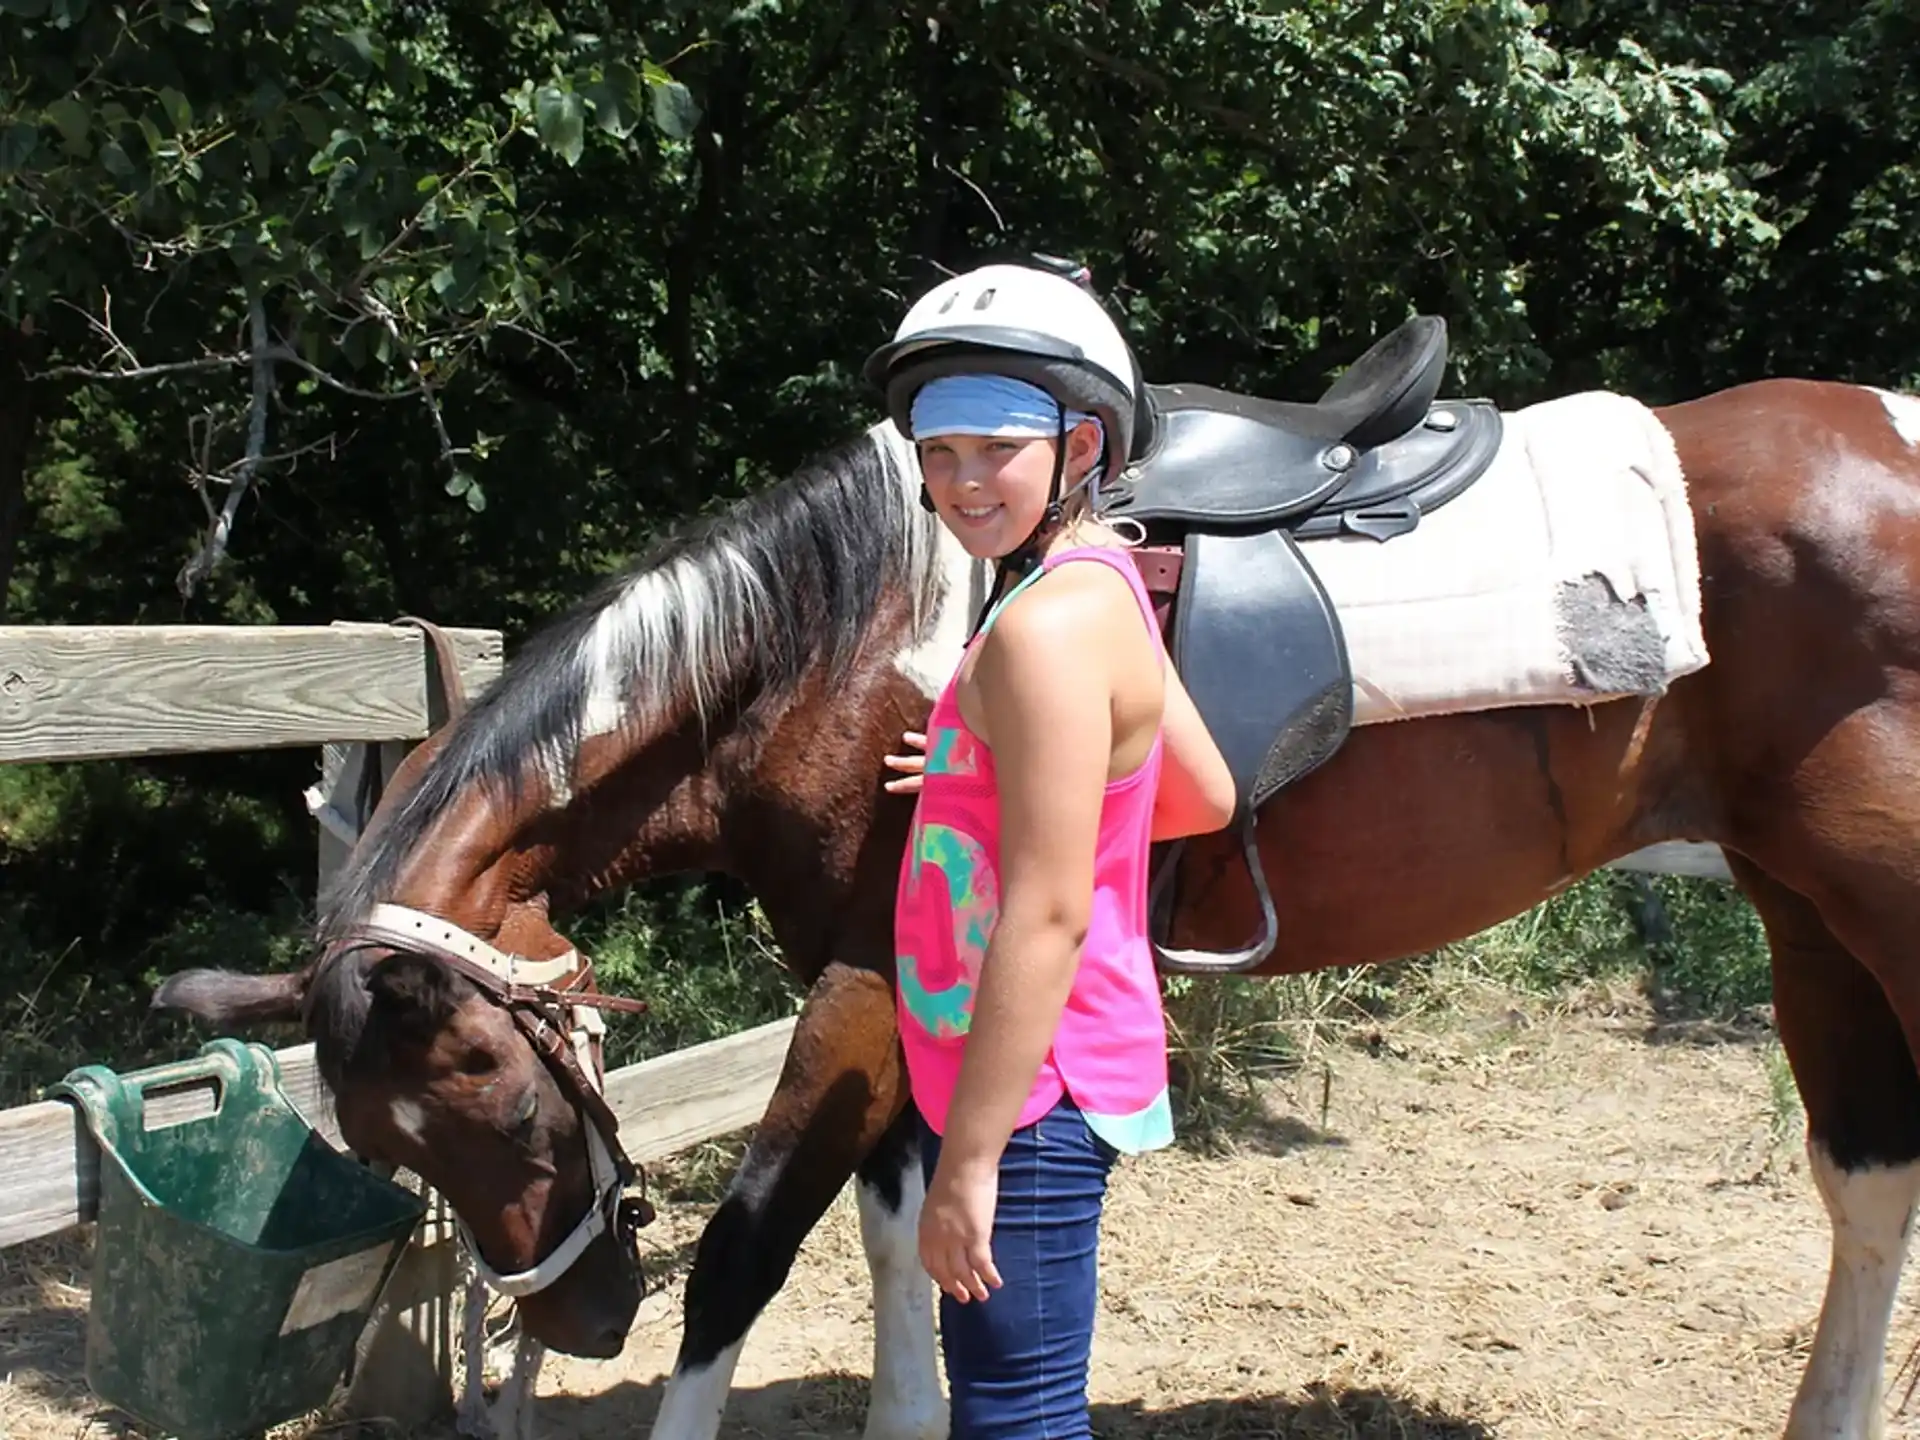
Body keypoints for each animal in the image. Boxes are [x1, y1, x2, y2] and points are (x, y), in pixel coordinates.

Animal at [155, 374, 1920, 1440]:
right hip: (1801, 913)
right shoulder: (895, 987)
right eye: (395, 1147)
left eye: (506, 1107)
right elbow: (903, 1226)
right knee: (1866, 1184)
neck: (842, 651)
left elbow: (748, 1249)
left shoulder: (868, 979)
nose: (582, 1322)